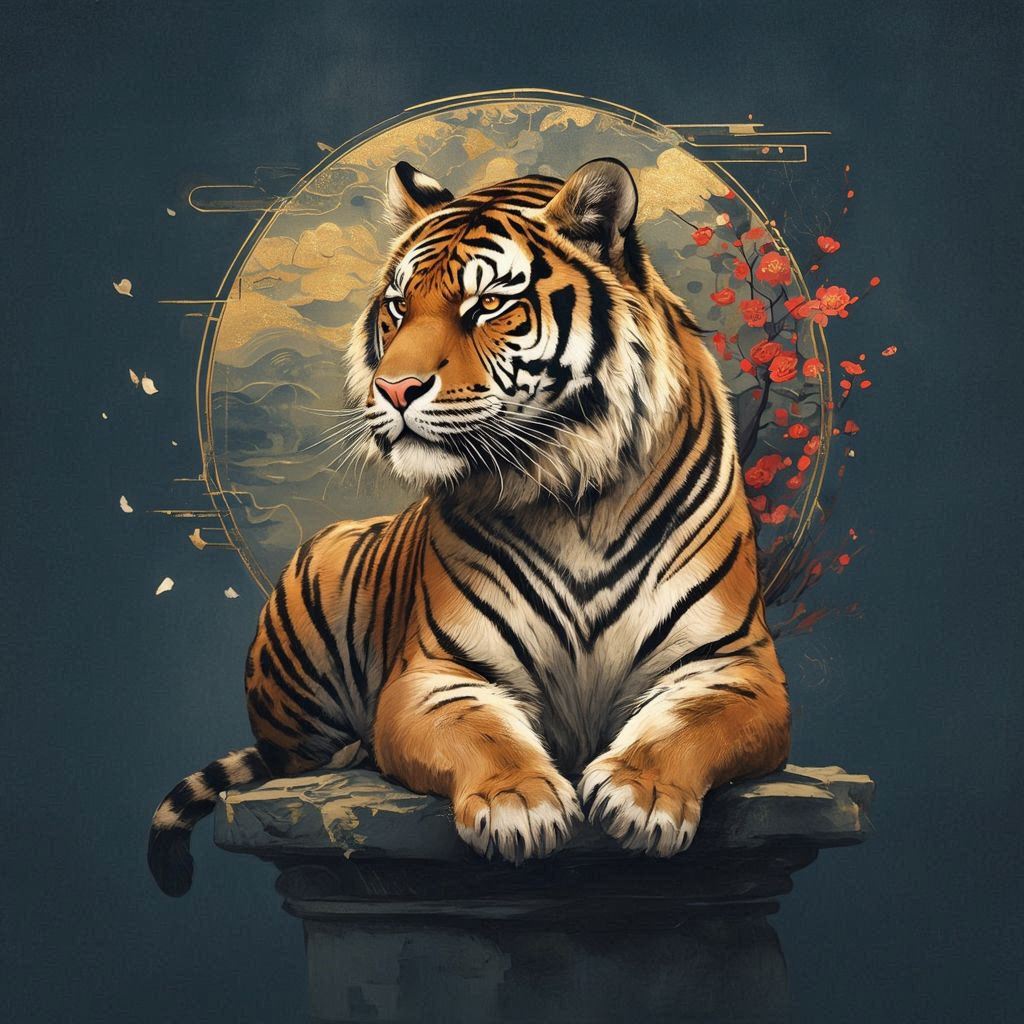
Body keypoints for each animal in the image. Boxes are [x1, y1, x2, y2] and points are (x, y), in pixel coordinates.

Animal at [149, 158, 790, 896]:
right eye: (399, 307)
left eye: (486, 305)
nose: (394, 389)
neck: (576, 499)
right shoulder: (436, 672)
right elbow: (482, 730)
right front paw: (520, 804)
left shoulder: (735, 666)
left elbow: (684, 723)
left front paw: (641, 794)